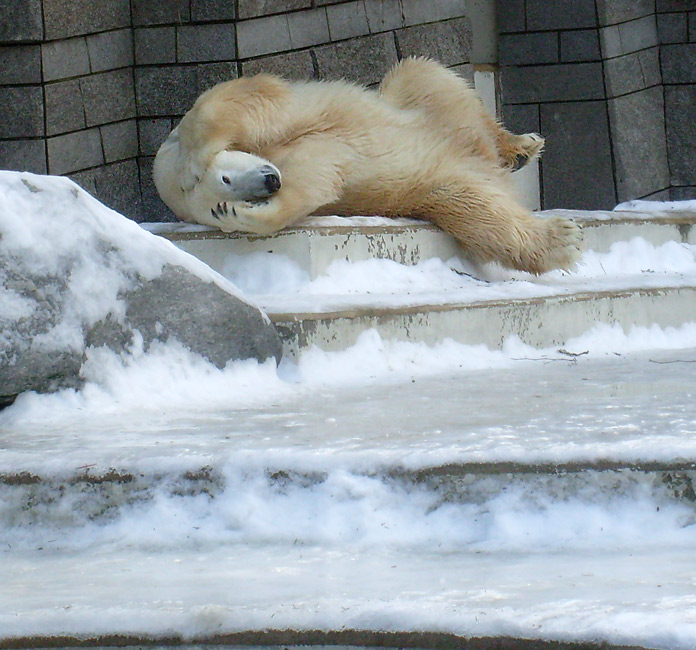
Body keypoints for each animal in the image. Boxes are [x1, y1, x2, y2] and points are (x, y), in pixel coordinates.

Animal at [154, 56, 580, 276]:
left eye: (225, 177)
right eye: (218, 203)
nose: (269, 182)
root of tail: (477, 155)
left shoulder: (282, 120)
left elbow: (239, 101)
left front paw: (194, 159)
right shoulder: (313, 161)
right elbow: (316, 181)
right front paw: (239, 214)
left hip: (418, 103)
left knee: (424, 75)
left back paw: (520, 146)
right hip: (437, 183)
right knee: (480, 211)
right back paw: (560, 239)